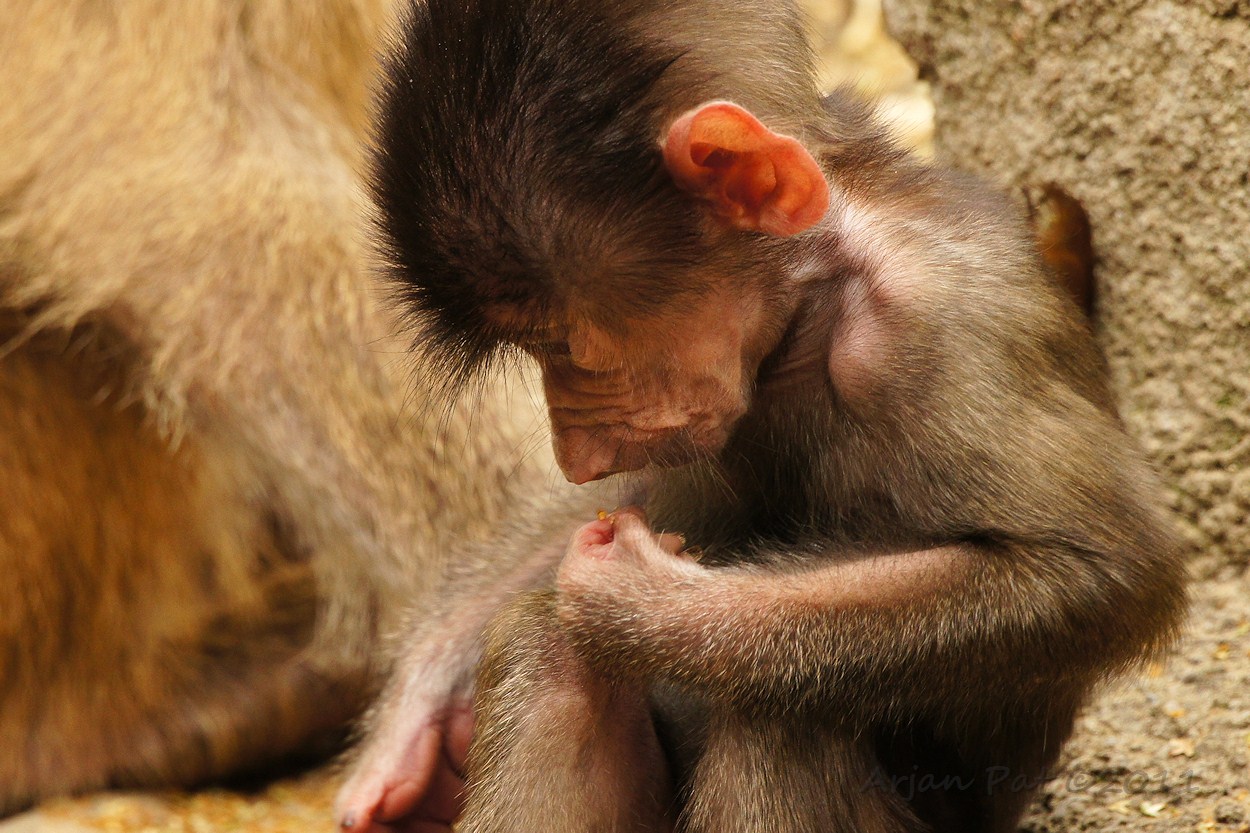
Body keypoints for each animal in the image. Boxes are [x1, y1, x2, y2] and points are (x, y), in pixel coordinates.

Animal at [335, 1, 1185, 831]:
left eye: (561, 344)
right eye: (537, 346)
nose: (574, 453)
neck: (817, 288)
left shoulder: (948, 323)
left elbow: (1096, 569)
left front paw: (646, 605)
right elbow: (639, 495)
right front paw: (419, 701)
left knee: (779, 712)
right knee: (546, 648)